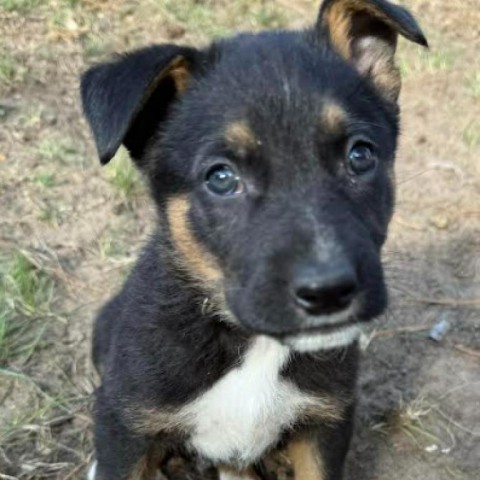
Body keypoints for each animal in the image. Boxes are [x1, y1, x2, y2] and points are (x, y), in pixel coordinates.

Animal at [81, 0, 428, 480]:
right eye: (221, 178)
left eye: (360, 155)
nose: (329, 292)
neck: (250, 344)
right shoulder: (125, 424)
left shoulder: (326, 425)